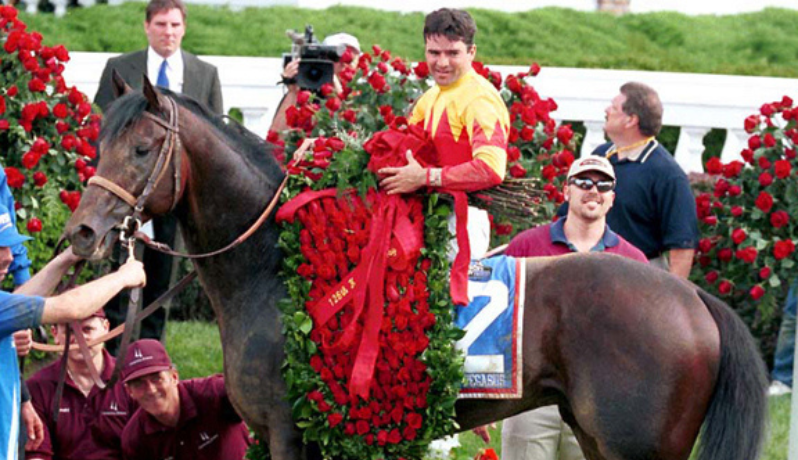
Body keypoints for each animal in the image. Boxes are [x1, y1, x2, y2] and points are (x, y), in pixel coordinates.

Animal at [67, 76, 768, 460]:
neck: (274, 273)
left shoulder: (293, 433)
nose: (82, 232)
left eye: (141, 148)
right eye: (100, 140)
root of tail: (693, 299)